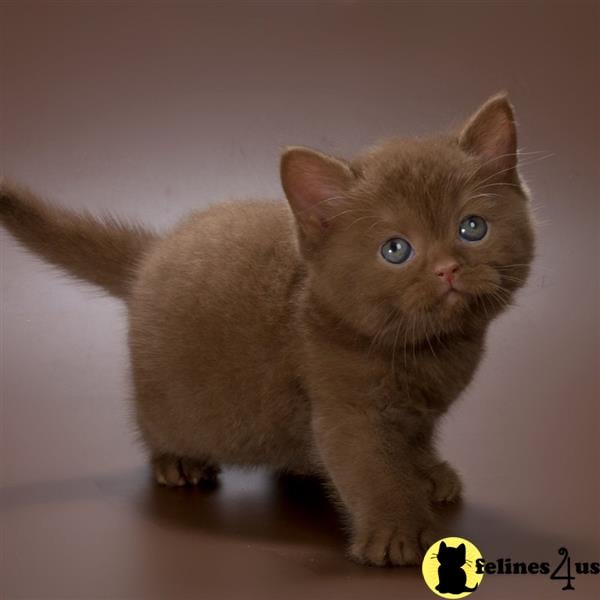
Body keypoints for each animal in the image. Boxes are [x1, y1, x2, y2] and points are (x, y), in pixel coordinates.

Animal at [0, 95, 536, 568]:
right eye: (396, 250)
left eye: (472, 227)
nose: (448, 269)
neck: (427, 352)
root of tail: (150, 254)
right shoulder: (346, 409)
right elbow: (372, 469)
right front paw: (398, 532)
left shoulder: (420, 413)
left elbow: (415, 442)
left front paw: (426, 474)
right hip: (169, 402)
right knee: (159, 426)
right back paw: (178, 461)